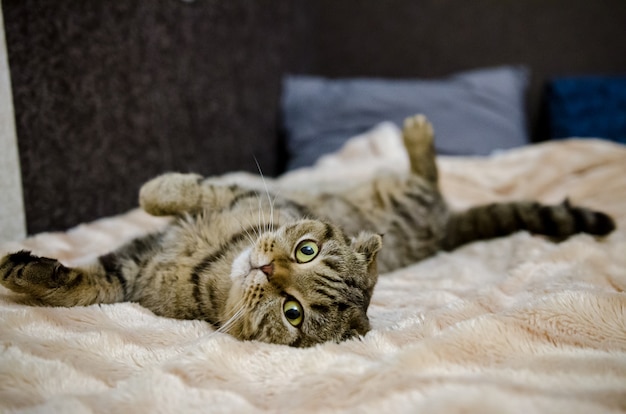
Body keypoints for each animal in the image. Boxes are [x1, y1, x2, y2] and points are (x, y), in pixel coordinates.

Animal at [0, 115, 616, 348]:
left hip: (419, 206)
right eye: (306, 249)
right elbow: (191, 192)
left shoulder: (135, 279)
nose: (267, 267)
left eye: (292, 313)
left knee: (433, 181)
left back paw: (418, 137)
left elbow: (92, 288)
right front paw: (157, 190)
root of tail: (445, 232)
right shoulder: (221, 206)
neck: (212, 261)